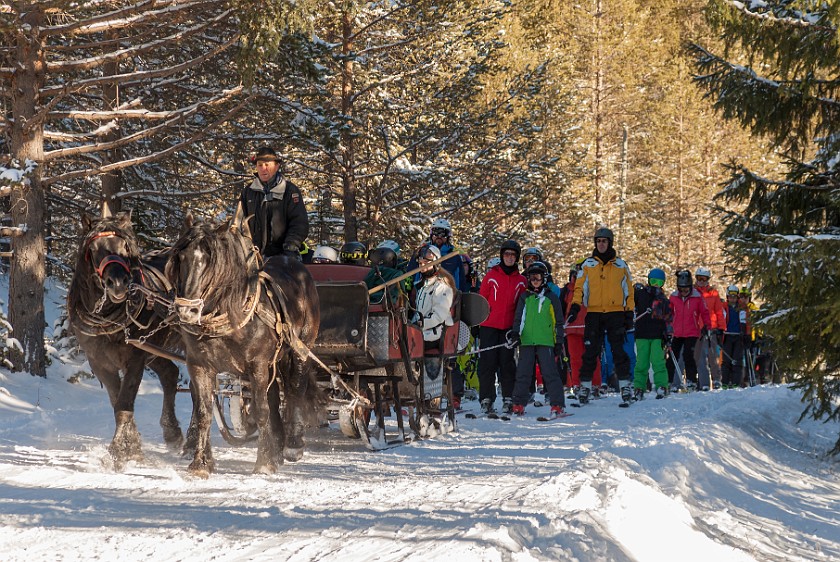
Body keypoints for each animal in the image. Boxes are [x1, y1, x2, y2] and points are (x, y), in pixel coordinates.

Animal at [67, 210, 184, 468]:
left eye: (125, 246)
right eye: (94, 249)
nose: (118, 283)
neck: (108, 319)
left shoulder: (136, 358)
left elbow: (124, 402)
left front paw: (122, 450)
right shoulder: (99, 362)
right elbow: (116, 401)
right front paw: (132, 443)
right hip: (155, 350)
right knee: (170, 374)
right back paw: (172, 433)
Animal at [167, 217, 322, 474]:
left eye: (210, 261)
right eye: (180, 257)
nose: (186, 311)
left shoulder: (257, 365)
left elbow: (261, 412)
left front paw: (264, 464)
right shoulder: (199, 365)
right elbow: (203, 413)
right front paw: (200, 463)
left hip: (299, 351)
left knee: (294, 391)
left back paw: (292, 445)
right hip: (272, 363)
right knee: (274, 396)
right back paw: (277, 447)